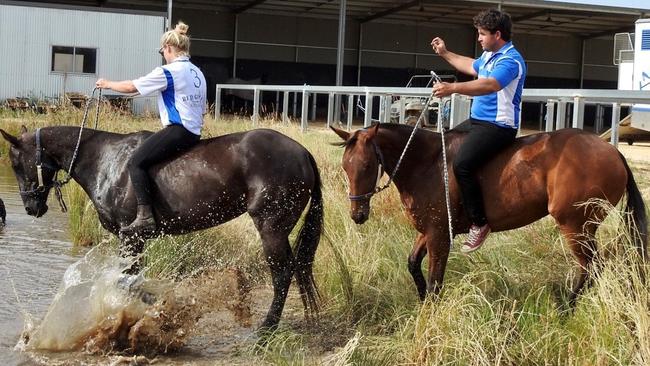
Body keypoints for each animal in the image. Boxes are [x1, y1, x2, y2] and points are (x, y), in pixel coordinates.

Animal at [0, 126, 322, 328]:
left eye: (15, 164)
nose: (31, 208)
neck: (104, 161)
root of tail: (303, 152)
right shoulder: (136, 241)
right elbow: (132, 281)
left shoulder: (130, 238)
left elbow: (127, 280)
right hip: (278, 229)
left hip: (270, 228)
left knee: (282, 274)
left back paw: (266, 329)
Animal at [332, 121, 644, 304]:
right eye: (345, 166)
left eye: (368, 166)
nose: (357, 214)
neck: (427, 162)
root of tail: (613, 152)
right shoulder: (430, 231)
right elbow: (412, 265)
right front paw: (421, 303)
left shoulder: (439, 235)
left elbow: (435, 281)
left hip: (576, 226)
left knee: (591, 267)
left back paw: (567, 308)